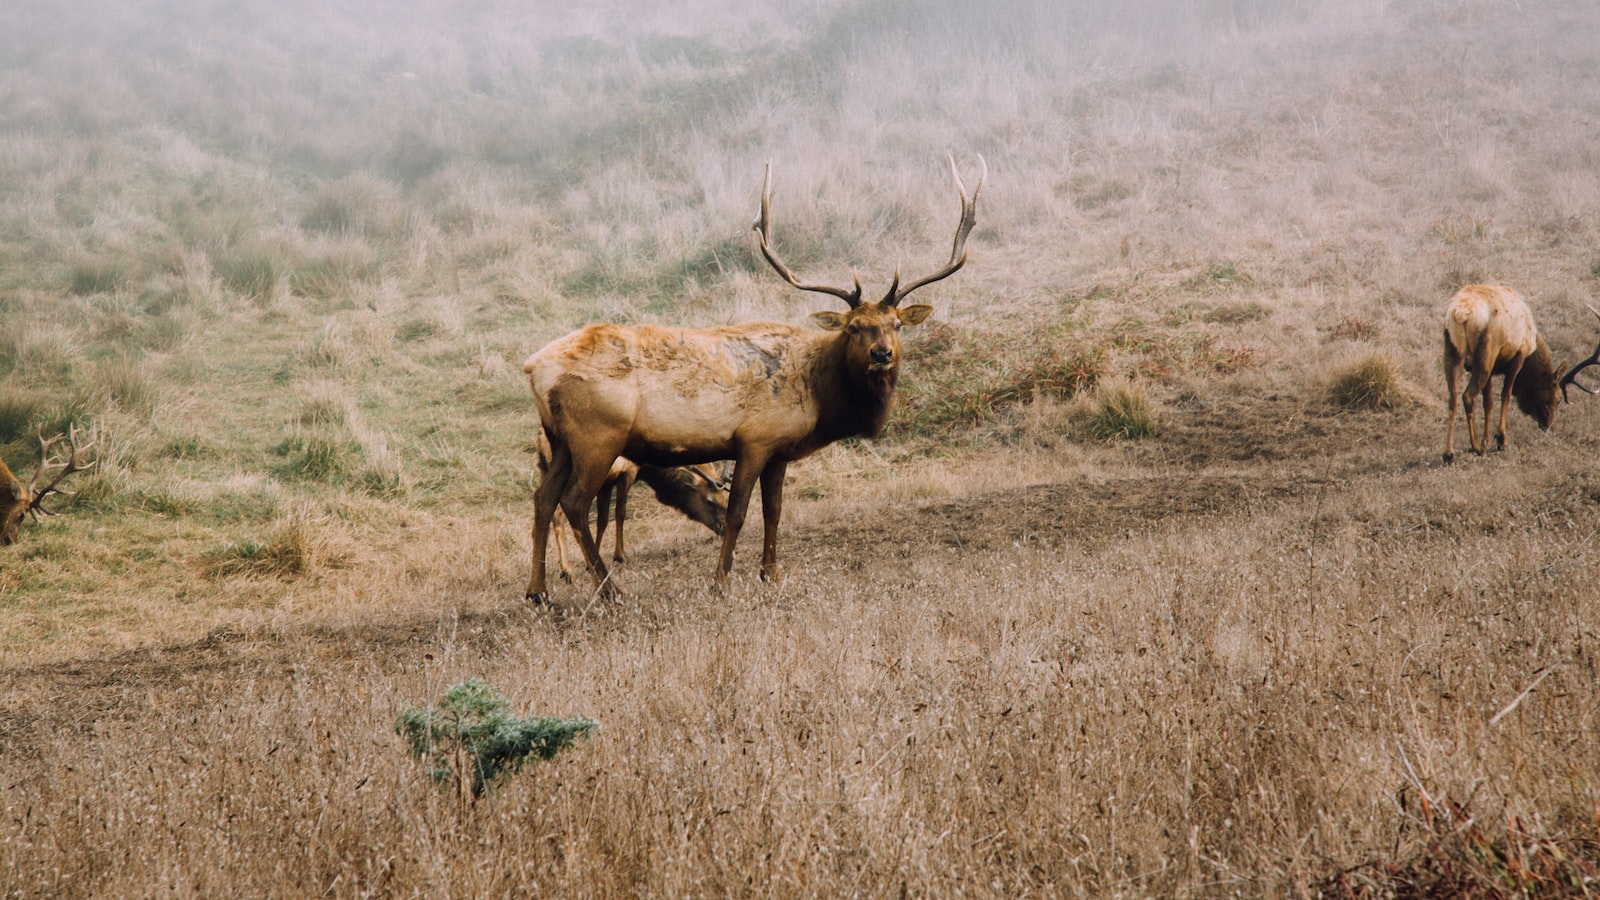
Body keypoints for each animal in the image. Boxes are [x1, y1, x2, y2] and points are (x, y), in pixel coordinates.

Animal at [540, 425, 732, 573]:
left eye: (725, 497)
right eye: (710, 501)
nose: (723, 527)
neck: (647, 466)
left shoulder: (607, 484)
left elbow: (602, 521)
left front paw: (594, 559)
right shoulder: (628, 472)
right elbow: (620, 513)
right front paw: (620, 556)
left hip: (544, 471)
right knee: (558, 513)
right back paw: (566, 570)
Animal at [1446, 281, 1568, 458]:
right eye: (1558, 399)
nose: (1547, 425)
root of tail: (1461, 313)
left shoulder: (1493, 369)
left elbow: (1488, 402)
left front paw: (1486, 439)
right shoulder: (1518, 355)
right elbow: (1506, 394)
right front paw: (1501, 439)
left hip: (1453, 351)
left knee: (1453, 397)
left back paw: (1449, 453)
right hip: (1486, 354)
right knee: (1468, 396)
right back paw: (1475, 446)